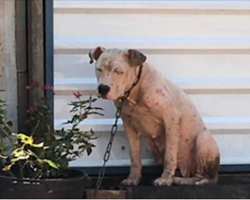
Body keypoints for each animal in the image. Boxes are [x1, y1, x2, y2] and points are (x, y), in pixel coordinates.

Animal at [89, 47, 220, 186]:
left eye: (119, 71)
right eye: (99, 69)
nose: (103, 88)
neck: (135, 89)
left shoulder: (171, 120)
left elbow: (170, 155)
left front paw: (165, 180)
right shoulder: (128, 125)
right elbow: (134, 156)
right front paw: (133, 178)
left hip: (203, 141)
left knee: (207, 177)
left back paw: (190, 180)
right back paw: (179, 178)